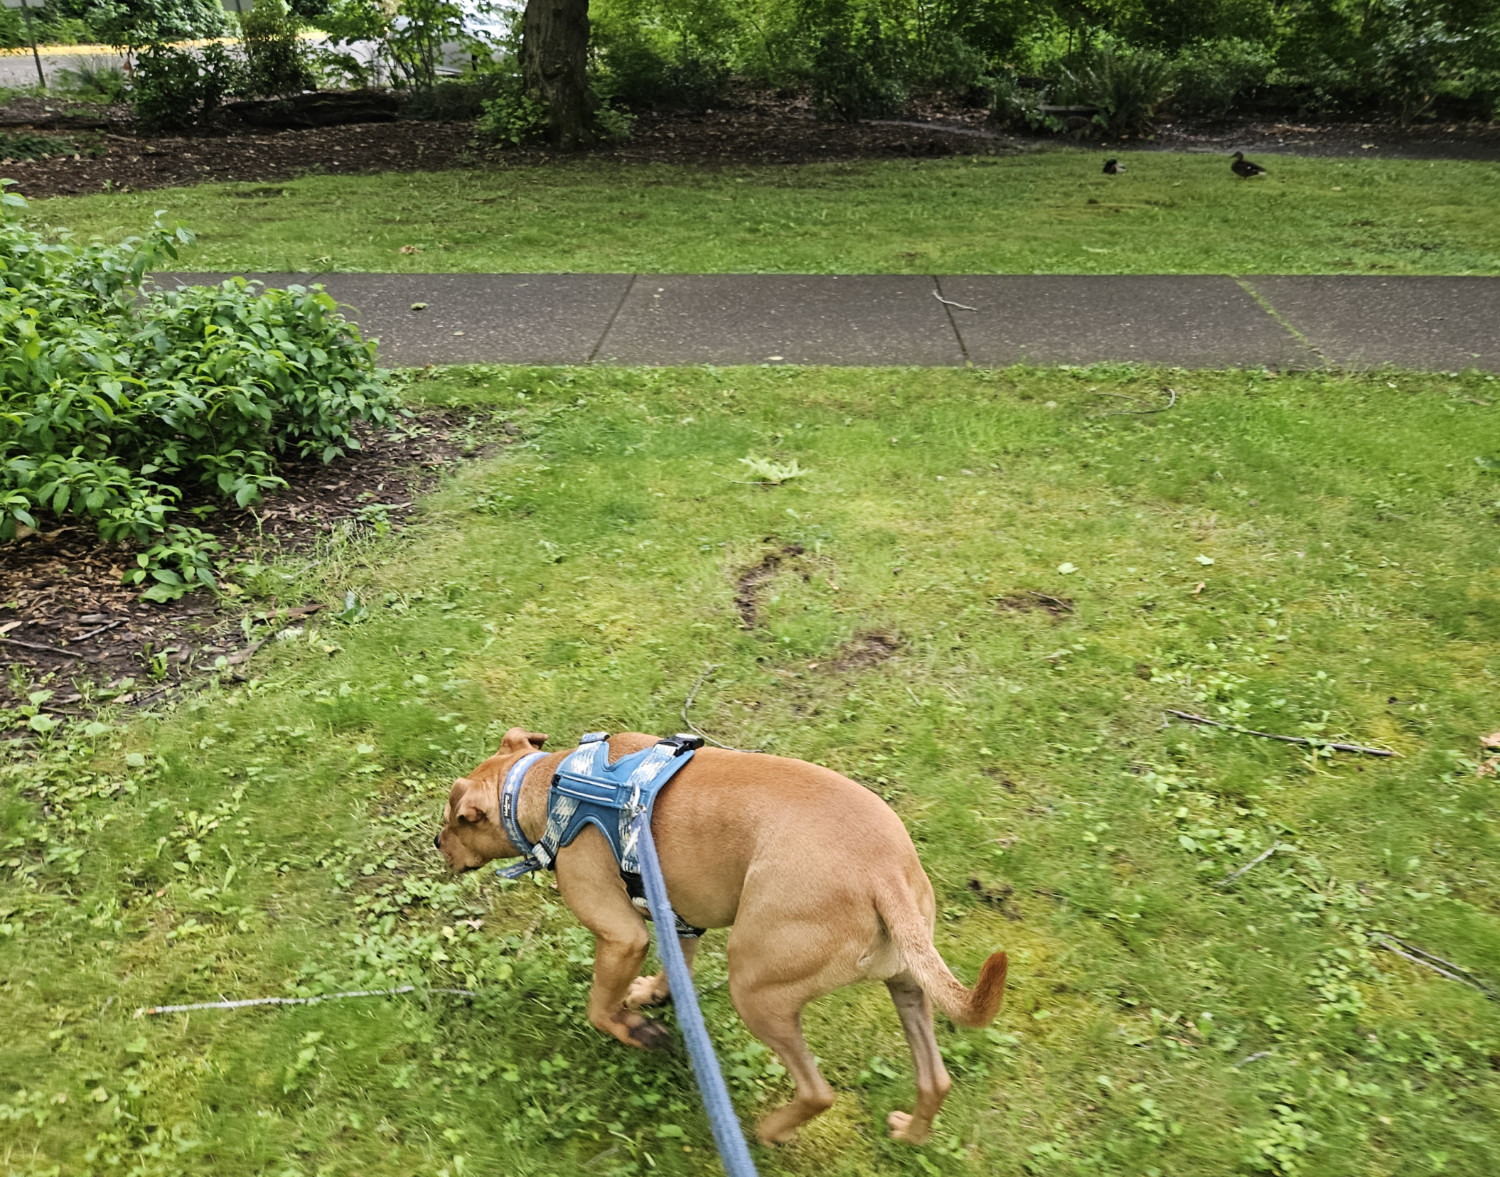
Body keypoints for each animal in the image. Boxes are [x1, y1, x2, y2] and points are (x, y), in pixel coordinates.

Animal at [438, 728, 1014, 1145]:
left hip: (756, 989)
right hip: (908, 985)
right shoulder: (677, 913)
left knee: (818, 1092)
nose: (438, 845)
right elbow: (678, 966)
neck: (549, 783)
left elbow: (599, 1008)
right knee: (935, 1078)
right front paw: (653, 994)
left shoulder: (622, 936)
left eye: (452, 819)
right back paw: (910, 1135)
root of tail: (884, 872)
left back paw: (766, 1131)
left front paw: (638, 1030)